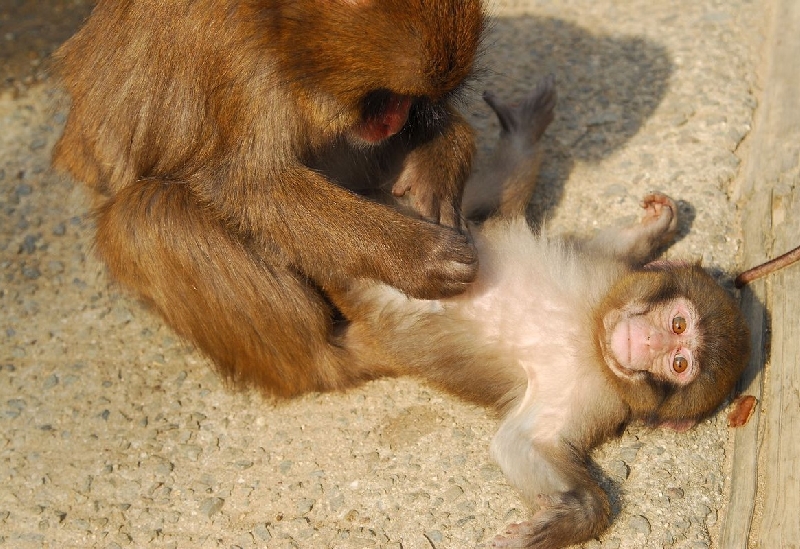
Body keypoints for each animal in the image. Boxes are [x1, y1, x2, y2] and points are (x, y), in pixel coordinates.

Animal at [53, 0, 484, 394]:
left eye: (408, 99)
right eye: (385, 97)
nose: (396, 120)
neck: (280, 27)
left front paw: (439, 160)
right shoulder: (239, 64)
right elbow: (250, 188)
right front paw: (417, 257)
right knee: (146, 217)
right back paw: (331, 359)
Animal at [340, 78, 752, 548]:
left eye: (679, 363)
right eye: (678, 323)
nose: (650, 341)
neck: (589, 335)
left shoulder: (592, 399)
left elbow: (519, 442)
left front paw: (569, 516)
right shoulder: (608, 276)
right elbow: (612, 249)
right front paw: (658, 225)